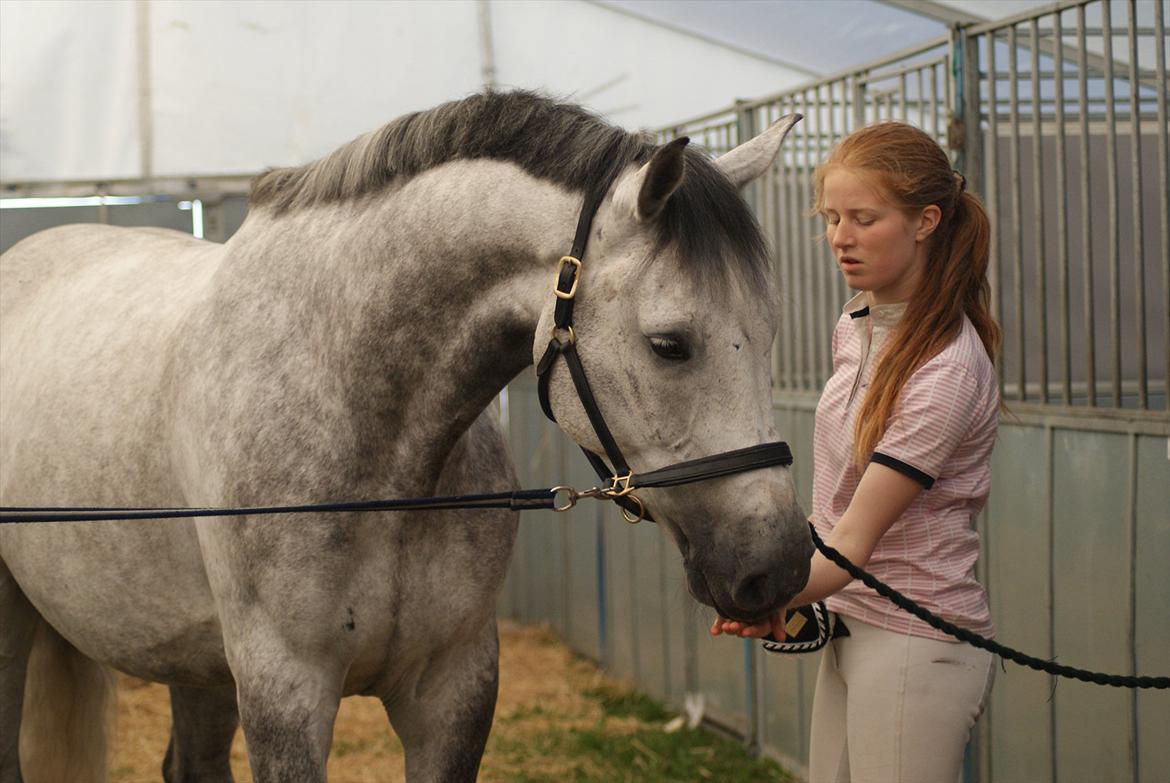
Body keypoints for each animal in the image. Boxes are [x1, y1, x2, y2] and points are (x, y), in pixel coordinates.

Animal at [0, 93, 809, 781]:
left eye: (772, 329)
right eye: (670, 344)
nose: (780, 564)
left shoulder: (454, 689)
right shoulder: (284, 691)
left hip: (198, 661)